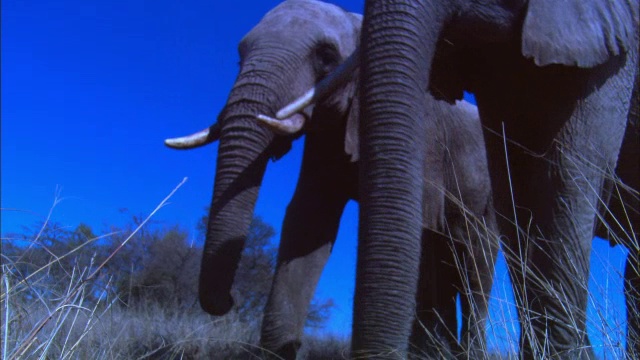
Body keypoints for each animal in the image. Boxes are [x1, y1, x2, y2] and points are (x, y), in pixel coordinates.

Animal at [162, 1, 498, 358]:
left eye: (325, 56)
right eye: (239, 59)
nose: (231, 299)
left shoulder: (426, 134)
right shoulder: (325, 135)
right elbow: (308, 222)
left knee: (475, 266)